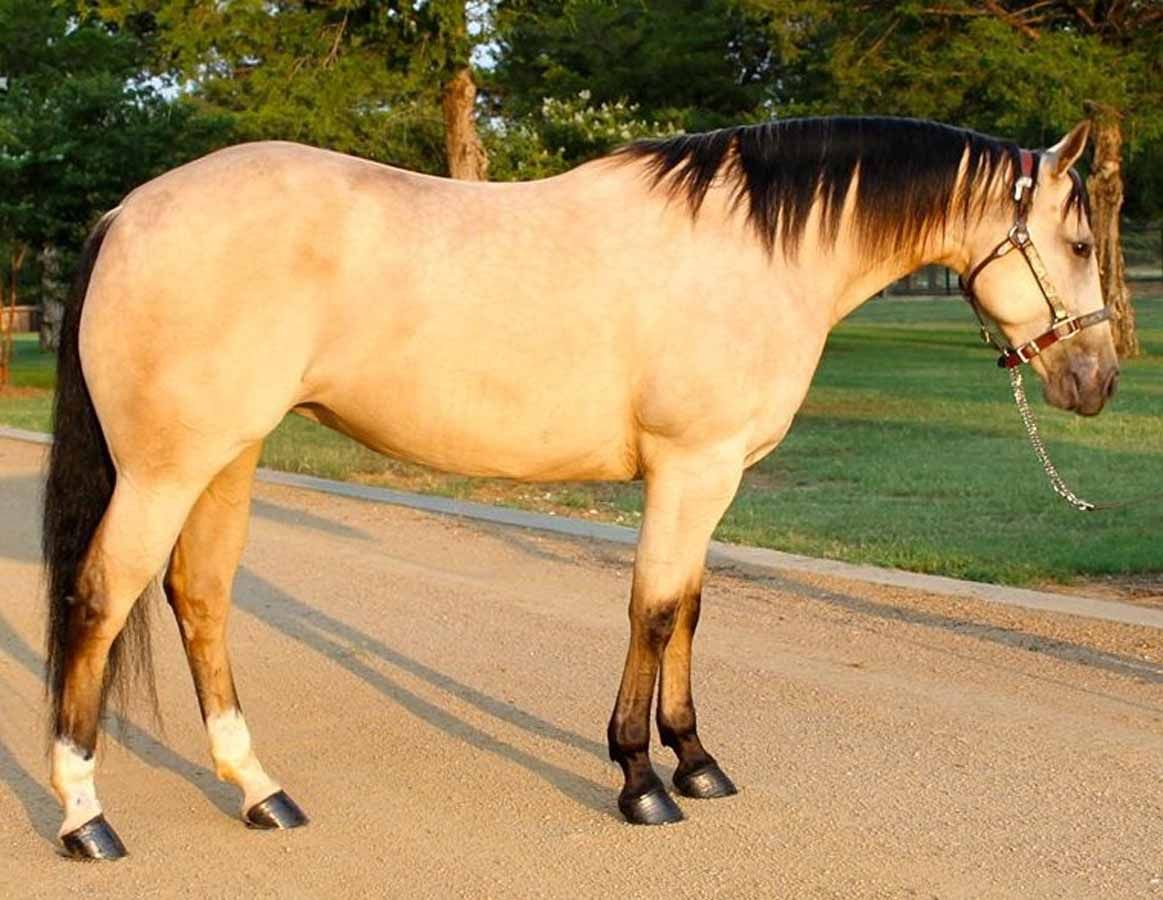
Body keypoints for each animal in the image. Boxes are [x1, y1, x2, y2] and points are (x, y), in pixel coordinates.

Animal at [41, 115, 1117, 859]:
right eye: (1076, 244)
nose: (1098, 382)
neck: (751, 252)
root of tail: (127, 212)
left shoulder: (709, 479)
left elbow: (687, 612)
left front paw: (696, 762)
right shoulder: (689, 468)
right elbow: (652, 612)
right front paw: (641, 780)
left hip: (226, 458)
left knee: (198, 598)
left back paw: (258, 790)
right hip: (168, 469)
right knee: (100, 599)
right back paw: (85, 813)